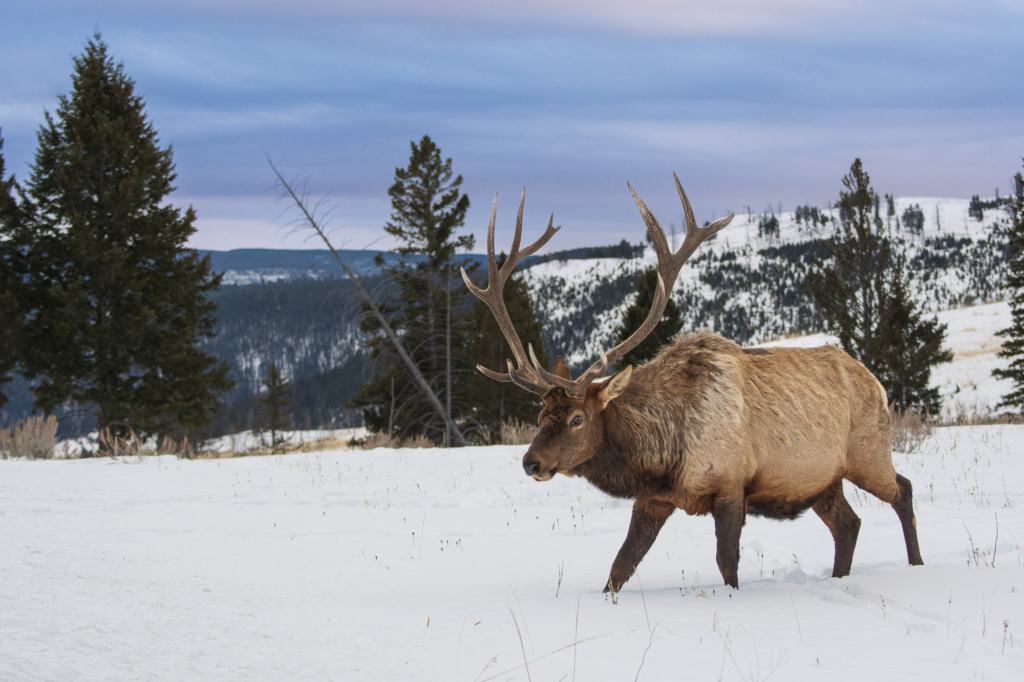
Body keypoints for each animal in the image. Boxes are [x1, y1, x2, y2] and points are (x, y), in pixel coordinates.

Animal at [464, 175, 929, 589]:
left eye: (578, 418)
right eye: (541, 415)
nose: (531, 462)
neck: (663, 455)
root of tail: (875, 381)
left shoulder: (730, 485)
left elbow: (727, 564)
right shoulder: (653, 499)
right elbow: (619, 568)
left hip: (867, 452)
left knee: (903, 490)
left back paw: (917, 565)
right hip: (821, 481)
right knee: (849, 523)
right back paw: (840, 578)